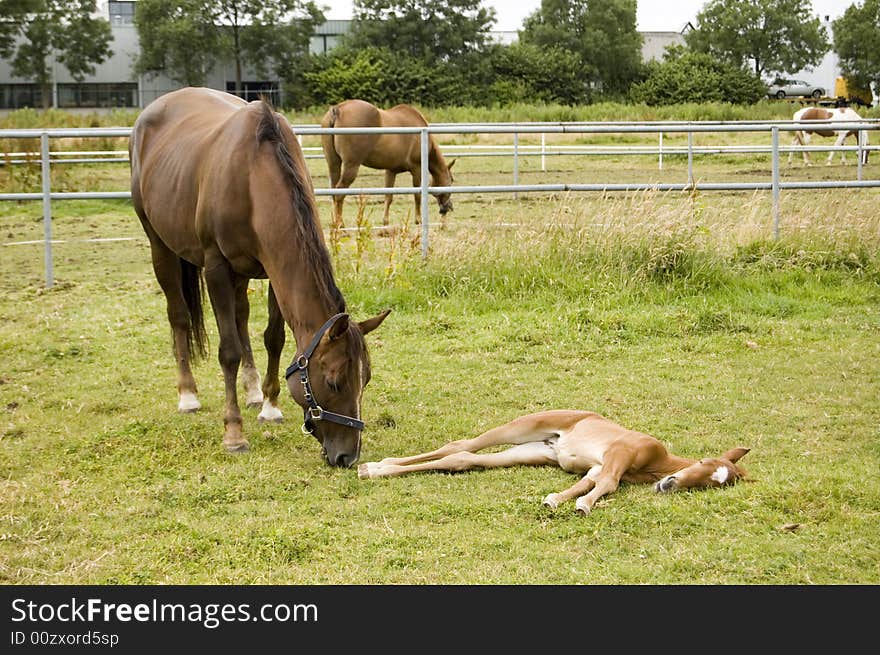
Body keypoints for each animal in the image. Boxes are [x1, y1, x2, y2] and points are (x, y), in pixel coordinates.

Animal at [322, 98, 458, 228]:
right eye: (451, 180)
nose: (447, 208)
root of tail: (337, 110)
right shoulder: (417, 169)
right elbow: (417, 195)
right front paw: (418, 220)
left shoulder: (390, 171)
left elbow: (388, 196)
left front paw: (385, 221)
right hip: (351, 166)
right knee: (340, 193)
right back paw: (341, 225)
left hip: (334, 164)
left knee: (333, 192)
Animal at [358, 412, 748, 516]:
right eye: (703, 463)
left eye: (711, 484)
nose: (669, 484)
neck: (656, 460)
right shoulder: (619, 454)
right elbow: (607, 484)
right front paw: (582, 506)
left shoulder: (598, 465)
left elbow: (590, 481)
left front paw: (556, 500)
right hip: (522, 427)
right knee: (461, 444)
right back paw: (375, 466)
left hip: (530, 451)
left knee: (462, 459)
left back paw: (376, 468)